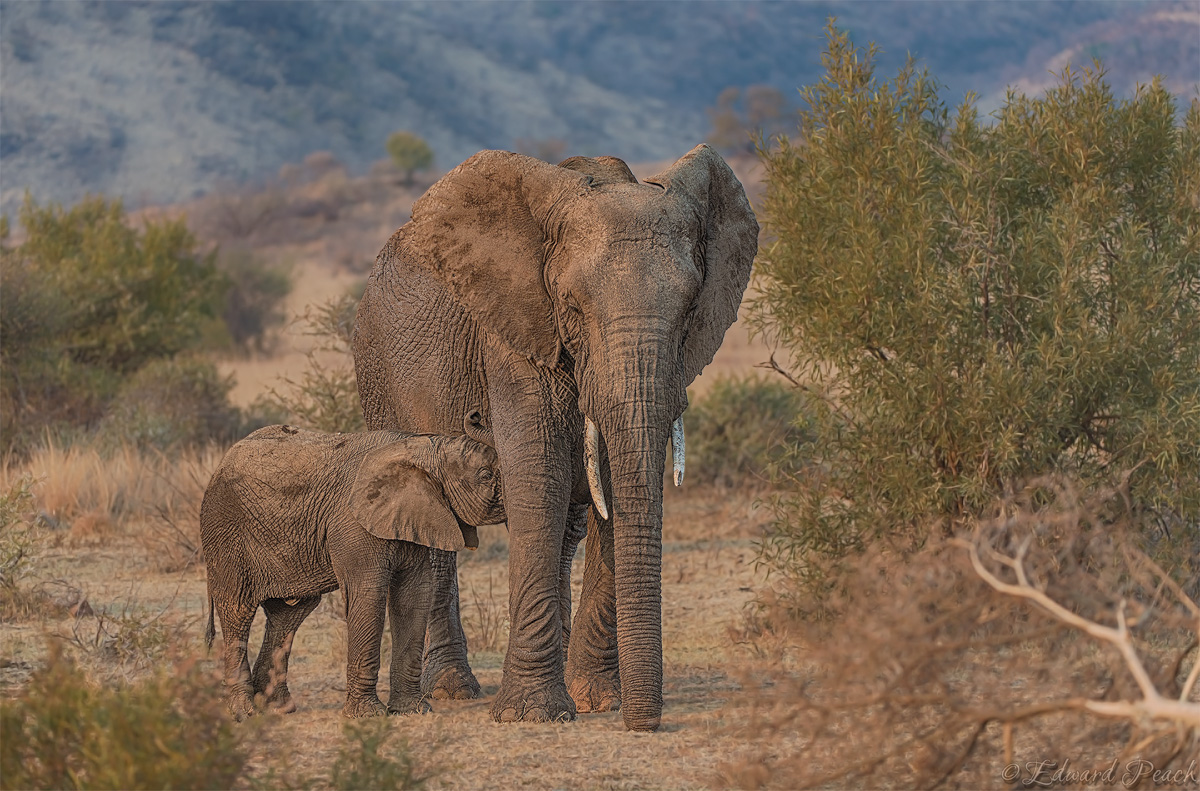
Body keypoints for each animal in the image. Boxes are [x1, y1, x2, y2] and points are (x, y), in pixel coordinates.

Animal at [200, 424, 505, 721]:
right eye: (486, 475)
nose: (474, 416)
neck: (421, 446)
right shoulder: (354, 524)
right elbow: (368, 594)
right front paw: (368, 715)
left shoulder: (414, 520)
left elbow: (414, 596)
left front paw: (413, 710)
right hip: (225, 530)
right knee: (237, 608)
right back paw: (244, 711)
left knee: (290, 612)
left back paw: (277, 707)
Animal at [353, 144, 758, 731]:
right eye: (573, 306)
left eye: (689, 311)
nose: (645, 724)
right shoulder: (514, 334)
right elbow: (538, 483)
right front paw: (533, 714)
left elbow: (607, 493)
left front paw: (598, 701)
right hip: (379, 374)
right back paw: (453, 690)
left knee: (569, 527)